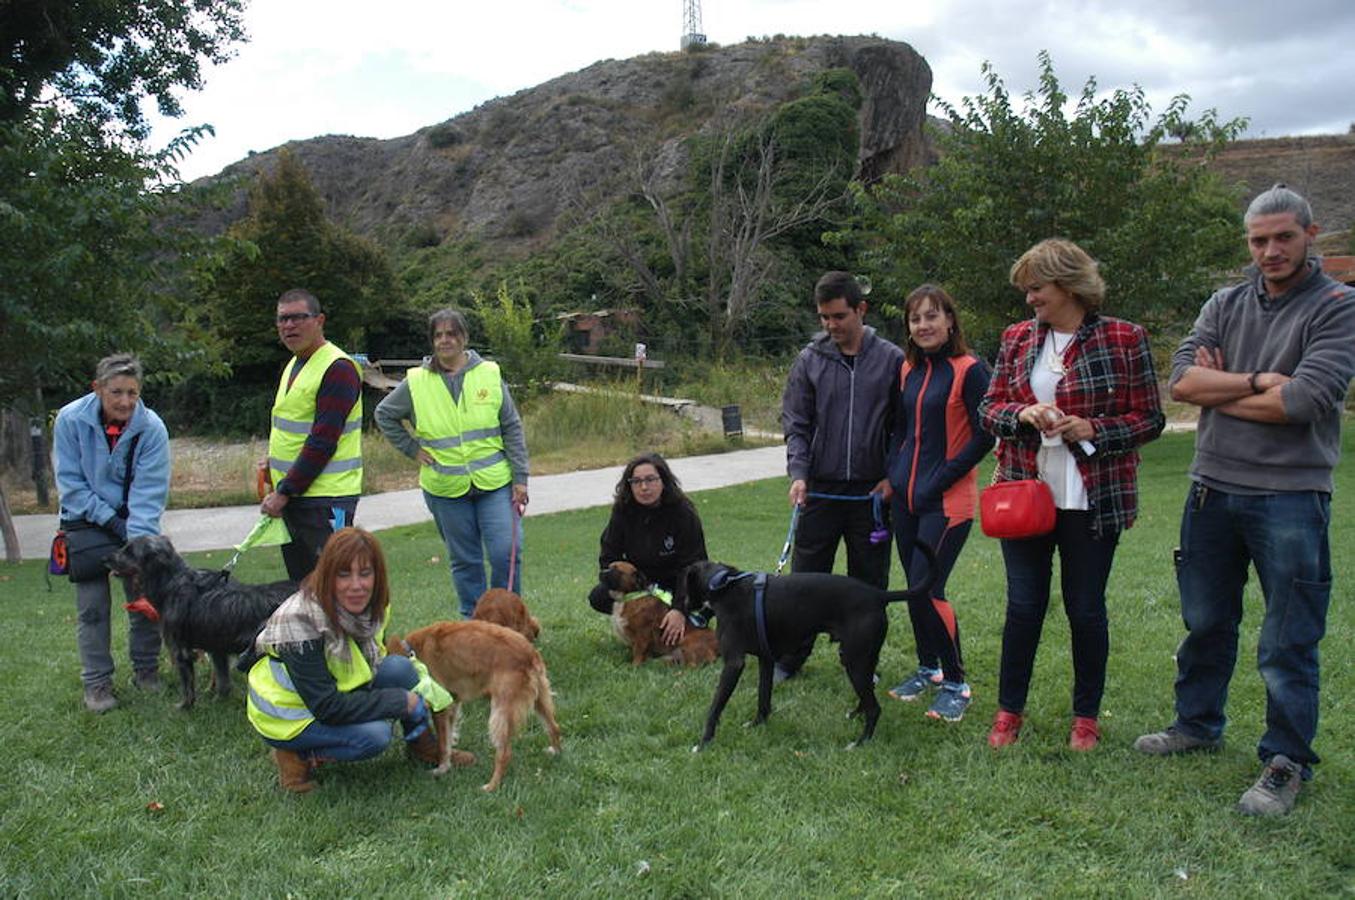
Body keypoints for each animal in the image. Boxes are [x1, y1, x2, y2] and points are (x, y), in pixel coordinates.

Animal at [108, 534, 296, 710]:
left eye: (129, 551)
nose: (105, 559)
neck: (172, 582)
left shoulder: (181, 651)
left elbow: (188, 687)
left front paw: (184, 707)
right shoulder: (217, 650)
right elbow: (223, 681)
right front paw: (219, 700)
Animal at [387, 623, 560, 791]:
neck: (412, 653)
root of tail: (529, 653)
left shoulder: (440, 708)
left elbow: (443, 745)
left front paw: (442, 769)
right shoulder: (453, 704)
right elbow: (448, 739)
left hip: (501, 712)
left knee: (504, 753)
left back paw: (491, 786)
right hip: (541, 700)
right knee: (554, 727)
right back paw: (556, 752)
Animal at [677, 553, 932, 748]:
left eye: (684, 583)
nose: (684, 606)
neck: (724, 585)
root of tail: (878, 595)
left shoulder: (733, 663)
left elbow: (715, 707)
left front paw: (704, 743)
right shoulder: (765, 659)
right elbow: (763, 697)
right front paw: (758, 724)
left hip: (855, 662)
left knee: (875, 709)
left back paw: (860, 742)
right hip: (861, 659)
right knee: (869, 695)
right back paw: (855, 715)